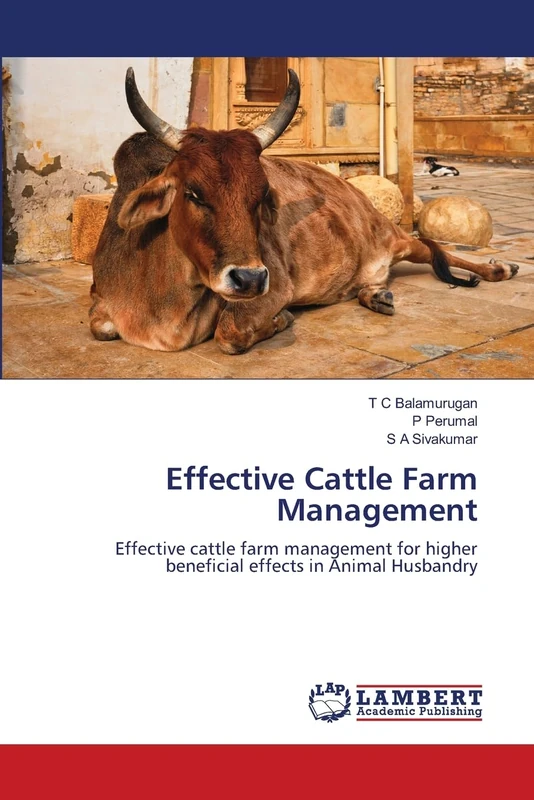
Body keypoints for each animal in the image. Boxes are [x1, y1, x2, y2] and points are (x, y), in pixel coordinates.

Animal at [90, 68, 519, 354]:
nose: (249, 279)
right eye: (193, 193)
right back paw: (377, 296)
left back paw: (500, 268)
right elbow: (101, 327)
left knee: (435, 249)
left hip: (395, 238)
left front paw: (282, 319)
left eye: (262, 195)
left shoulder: (275, 286)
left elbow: (230, 333)